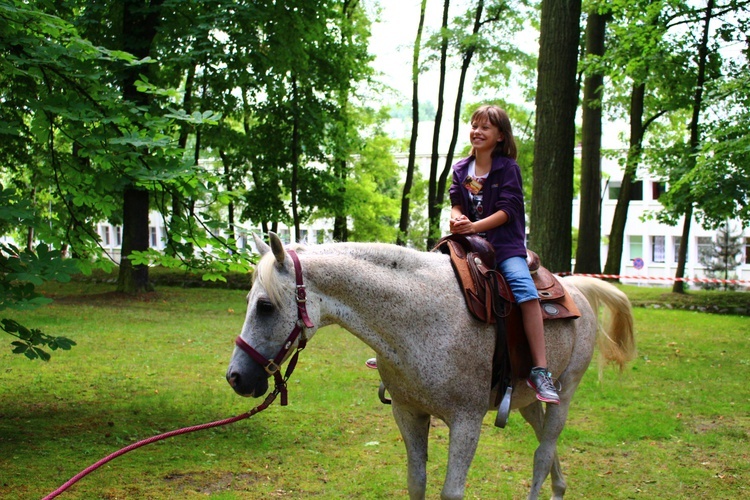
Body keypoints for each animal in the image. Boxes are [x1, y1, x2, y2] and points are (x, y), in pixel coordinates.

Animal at [226, 234, 636, 500]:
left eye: (265, 306)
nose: (236, 377)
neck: (421, 316)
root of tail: (574, 287)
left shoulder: (467, 421)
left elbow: (450, 491)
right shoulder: (408, 413)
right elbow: (416, 482)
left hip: (563, 396)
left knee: (541, 455)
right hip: (527, 402)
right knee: (546, 450)